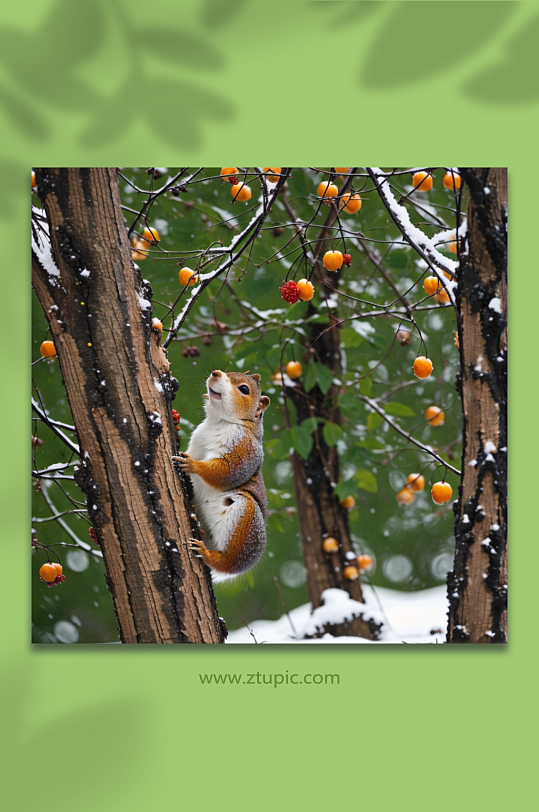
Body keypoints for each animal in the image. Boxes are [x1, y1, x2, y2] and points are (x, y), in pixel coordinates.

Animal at [174, 368, 270, 576]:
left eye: (244, 389)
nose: (215, 373)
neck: (218, 421)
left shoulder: (245, 449)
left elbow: (227, 471)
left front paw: (193, 464)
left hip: (245, 525)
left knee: (227, 563)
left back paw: (209, 555)